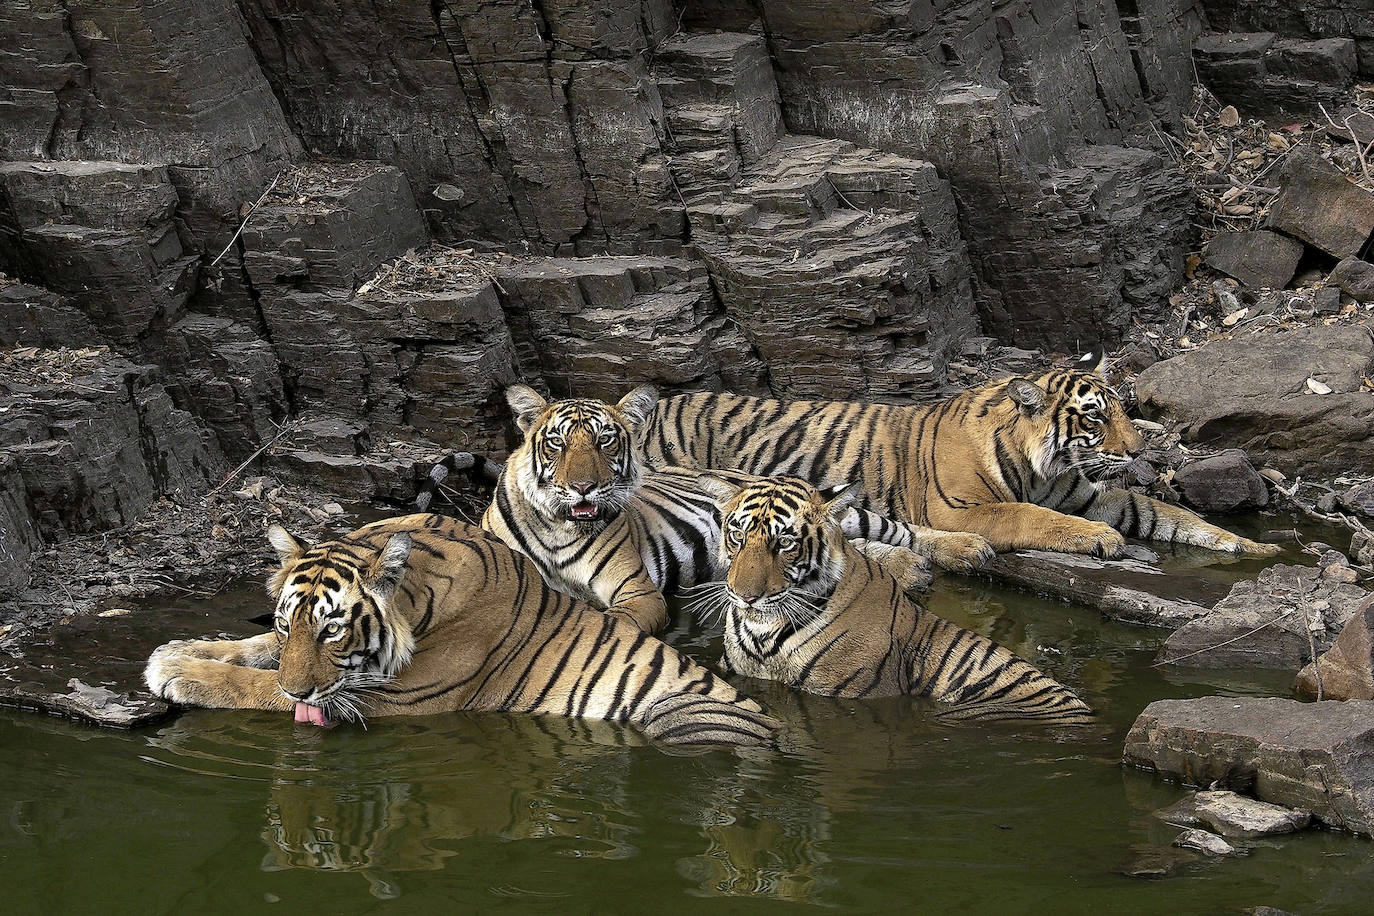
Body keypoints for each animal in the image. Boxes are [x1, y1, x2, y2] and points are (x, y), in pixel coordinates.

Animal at [142, 513, 779, 749]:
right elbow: (254, 652)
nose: (301, 691)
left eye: (332, 633)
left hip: (682, 715)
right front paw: (183, 647)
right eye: (288, 624)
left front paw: (174, 670)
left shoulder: (390, 697)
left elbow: (257, 686)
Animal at [472, 384, 993, 634]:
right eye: (557, 443)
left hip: (845, 511)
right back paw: (912, 569)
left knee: (898, 528)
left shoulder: (637, 592)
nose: (584, 487)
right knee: (857, 547)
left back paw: (967, 549)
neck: (558, 526)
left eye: (605, 441)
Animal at [642, 349, 1280, 559]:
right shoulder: (961, 506)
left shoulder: (1087, 493)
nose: (1141, 447)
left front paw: (1249, 547)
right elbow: (1032, 517)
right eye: (1097, 417)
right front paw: (1101, 540)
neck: (1044, 467)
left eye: (1124, 409)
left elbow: (1167, 513)